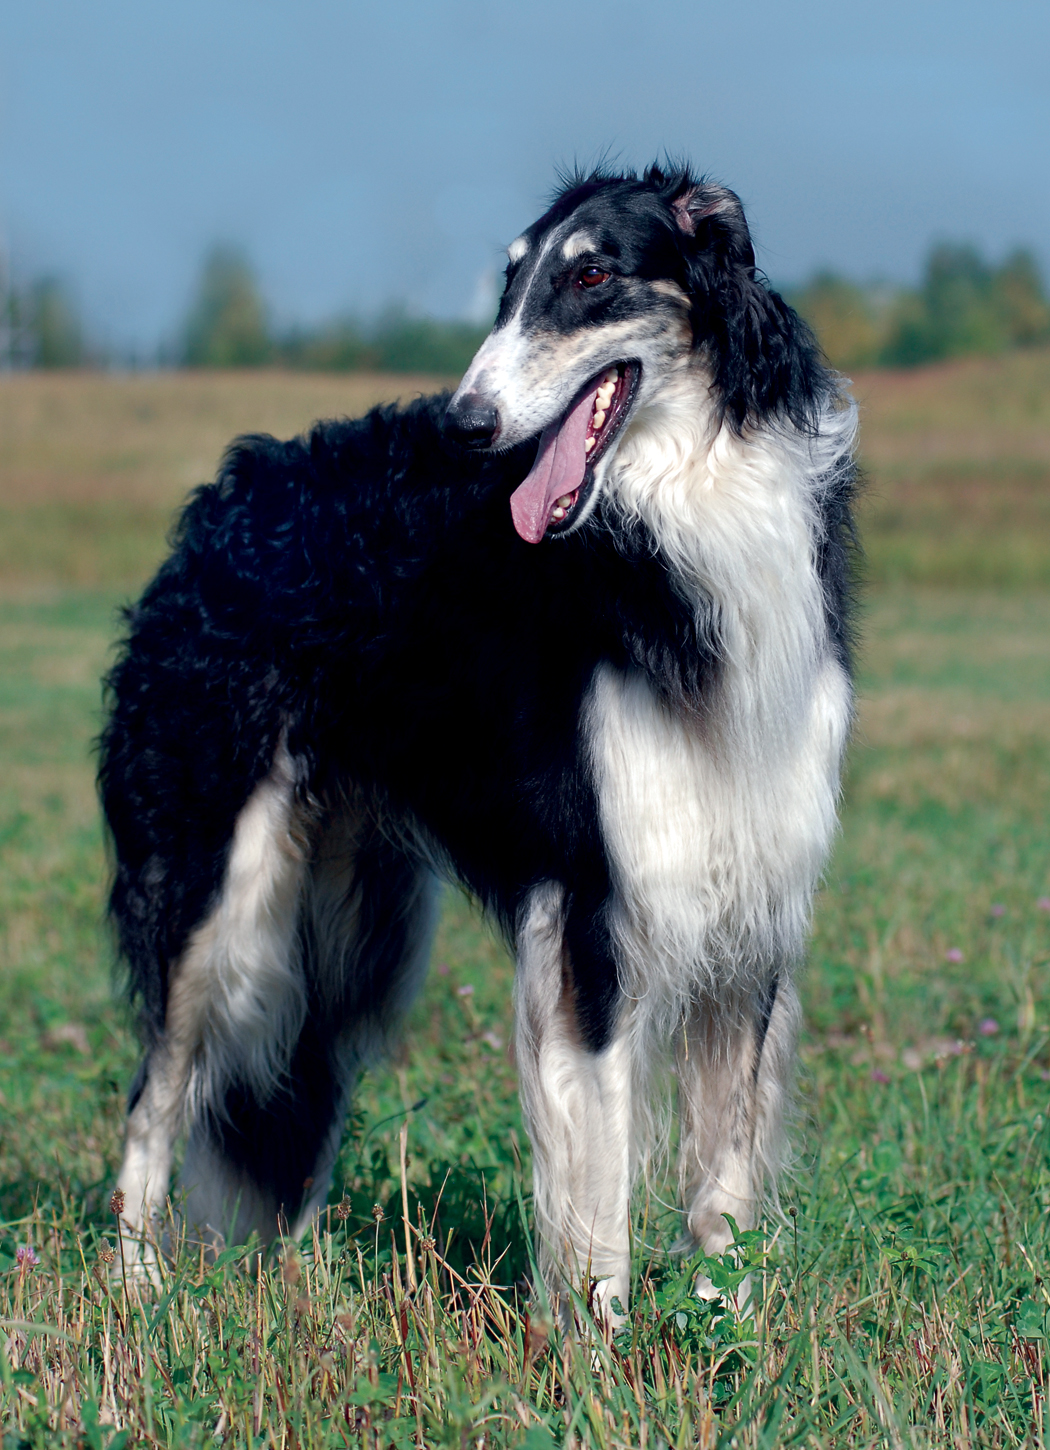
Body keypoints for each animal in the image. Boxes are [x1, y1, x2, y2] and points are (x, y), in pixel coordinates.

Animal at [100, 164, 852, 1322]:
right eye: (508, 283)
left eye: (590, 275)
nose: (467, 423)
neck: (682, 523)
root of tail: (224, 501)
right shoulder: (595, 900)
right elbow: (600, 1164)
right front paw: (599, 1335)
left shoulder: (752, 900)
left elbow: (722, 1178)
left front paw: (723, 1324)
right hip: (214, 882)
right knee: (155, 1093)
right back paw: (136, 1290)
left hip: (346, 921)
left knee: (290, 1090)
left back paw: (293, 1287)